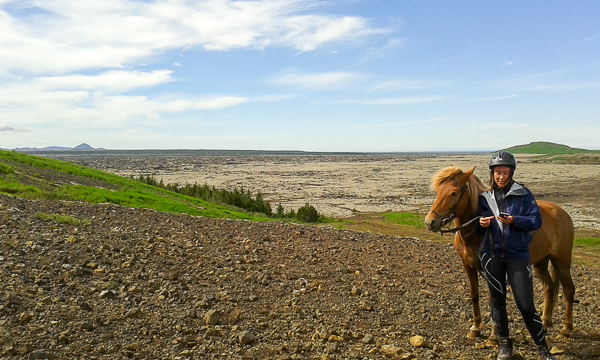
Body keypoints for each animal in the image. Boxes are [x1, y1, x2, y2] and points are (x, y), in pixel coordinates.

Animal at [424, 166, 576, 340]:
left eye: (454, 193)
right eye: (438, 191)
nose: (430, 222)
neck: (476, 232)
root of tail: (562, 213)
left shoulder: (491, 268)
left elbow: (493, 299)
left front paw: (494, 335)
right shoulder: (468, 265)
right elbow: (474, 294)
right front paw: (475, 327)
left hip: (561, 262)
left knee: (569, 290)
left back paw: (567, 327)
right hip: (541, 263)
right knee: (549, 288)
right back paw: (545, 324)